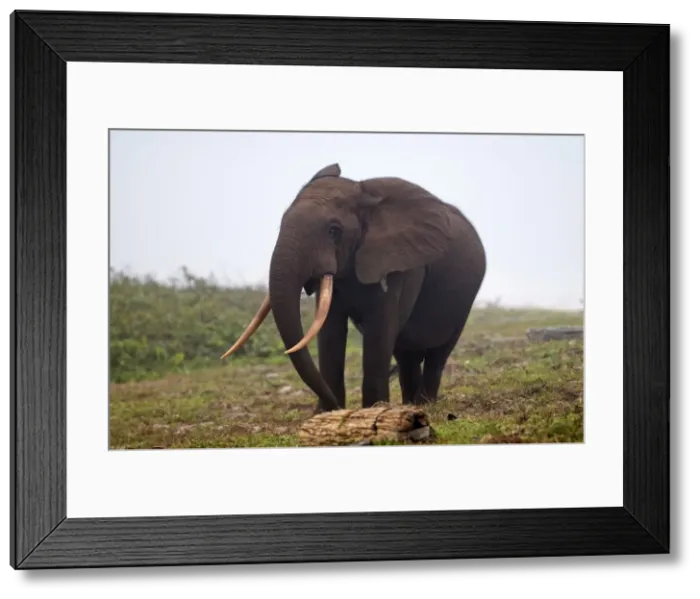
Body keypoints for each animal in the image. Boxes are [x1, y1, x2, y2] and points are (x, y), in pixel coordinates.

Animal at [221, 163, 487, 413]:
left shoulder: (401, 263)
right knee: (406, 353)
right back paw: (411, 405)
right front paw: (327, 414)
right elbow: (330, 331)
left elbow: (380, 329)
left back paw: (424, 405)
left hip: (465, 301)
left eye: (334, 231)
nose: (334, 405)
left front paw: (374, 410)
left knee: (438, 353)